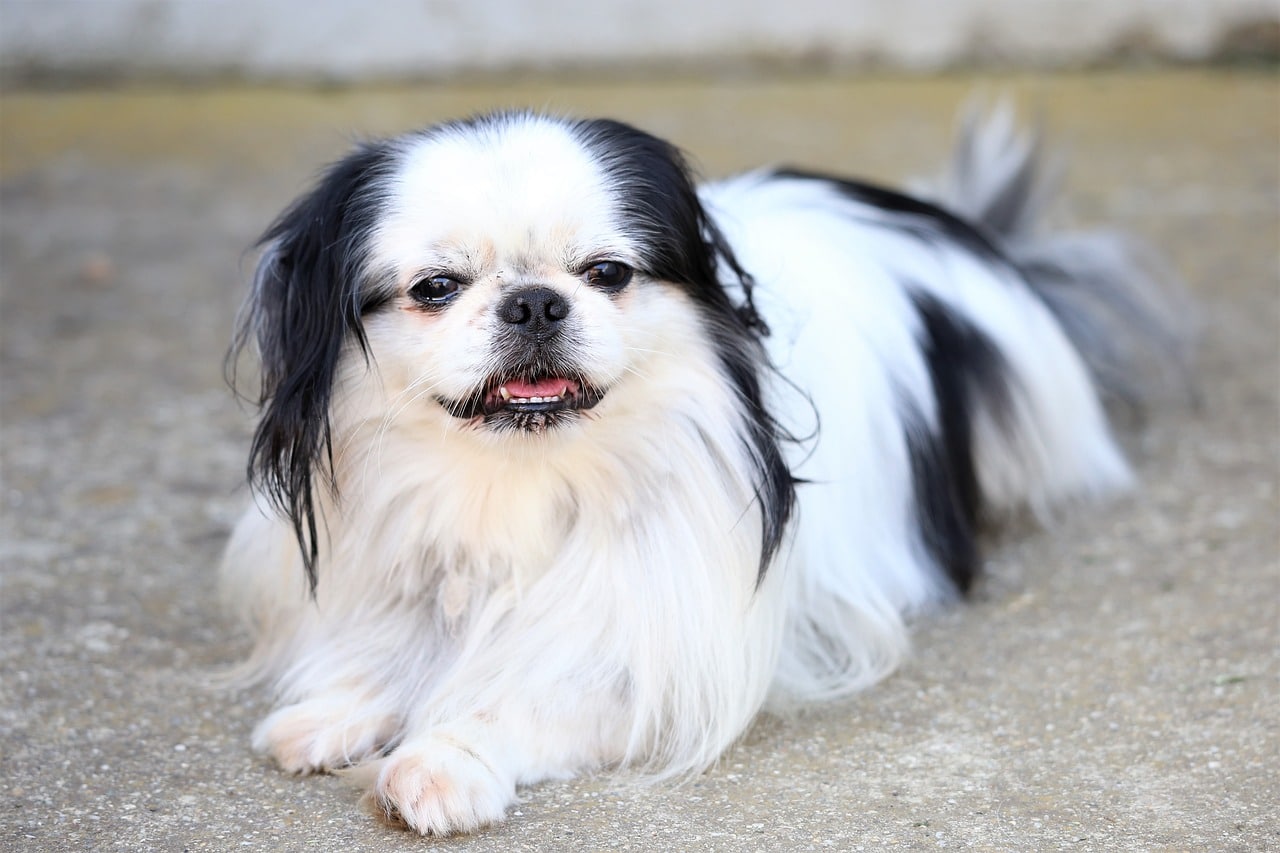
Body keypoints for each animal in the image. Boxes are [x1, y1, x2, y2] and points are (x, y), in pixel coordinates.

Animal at [217, 103, 1177, 835]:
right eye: (436, 288)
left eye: (607, 272)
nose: (534, 301)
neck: (522, 484)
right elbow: (400, 640)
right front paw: (339, 706)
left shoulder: (664, 657)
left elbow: (531, 691)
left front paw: (444, 758)